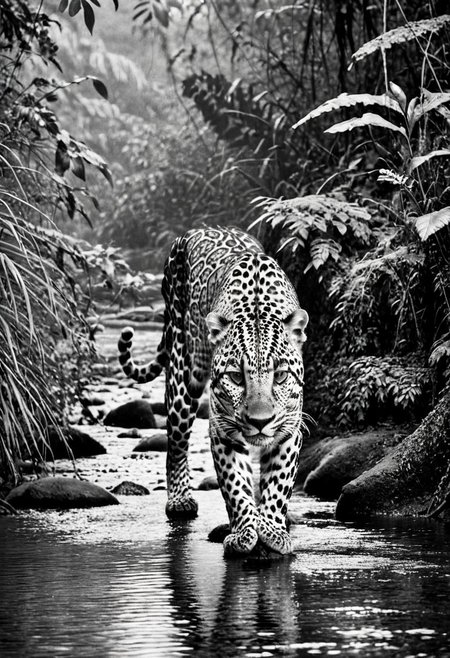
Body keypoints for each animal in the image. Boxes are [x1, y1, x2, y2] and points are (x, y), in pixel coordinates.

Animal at [118, 227, 309, 557]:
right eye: (235, 377)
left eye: (281, 375)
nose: (260, 422)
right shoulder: (223, 428)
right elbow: (235, 485)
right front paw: (244, 532)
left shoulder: (289, 427)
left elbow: (278, 483)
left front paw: (272, 529)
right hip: (183, 373)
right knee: (176, 442)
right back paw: (179, 500)